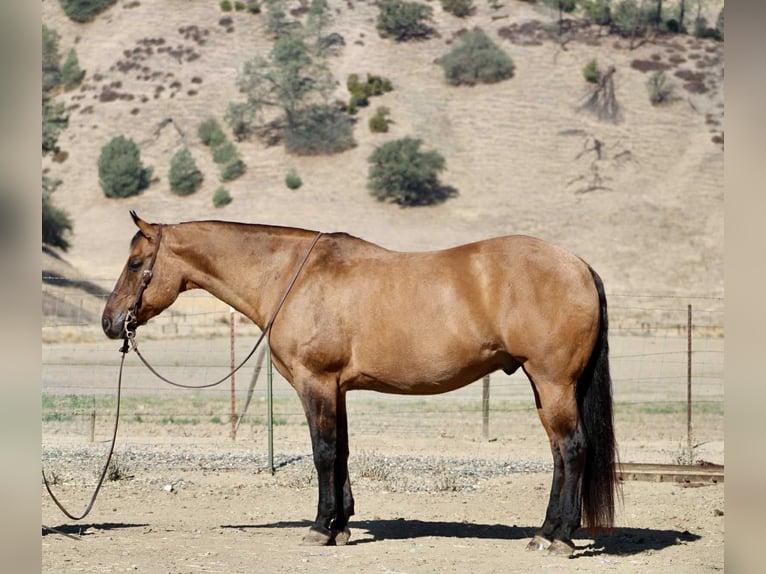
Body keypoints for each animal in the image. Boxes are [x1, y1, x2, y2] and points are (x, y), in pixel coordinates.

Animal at [102, 212, 619, 556]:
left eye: (135, 264)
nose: (109, 322)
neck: (292, 276)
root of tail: (577, 264)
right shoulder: (337, 388)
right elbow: (342, 451)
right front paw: (341, 525)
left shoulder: (316, 383)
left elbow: (323, 452)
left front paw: (319, 527)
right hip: (545, 386)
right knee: (559, 453)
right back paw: (545, 532)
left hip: (553, 382)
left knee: (572, 448)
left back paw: (560, 538)